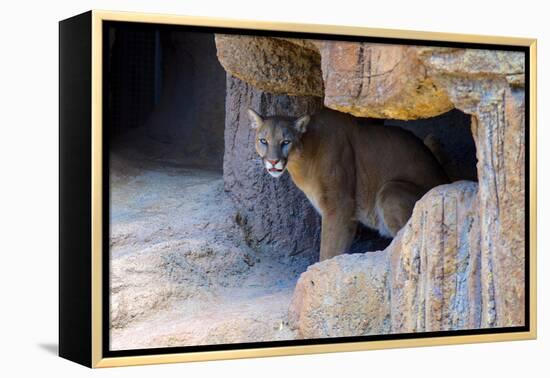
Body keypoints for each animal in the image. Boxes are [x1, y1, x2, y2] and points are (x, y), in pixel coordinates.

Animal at [248, 106, 450, 260]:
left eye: (286, 141)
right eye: (263, 141)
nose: (273, 161)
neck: (304, 154)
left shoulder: (339, 206)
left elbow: (328, 251)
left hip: (390, 189)